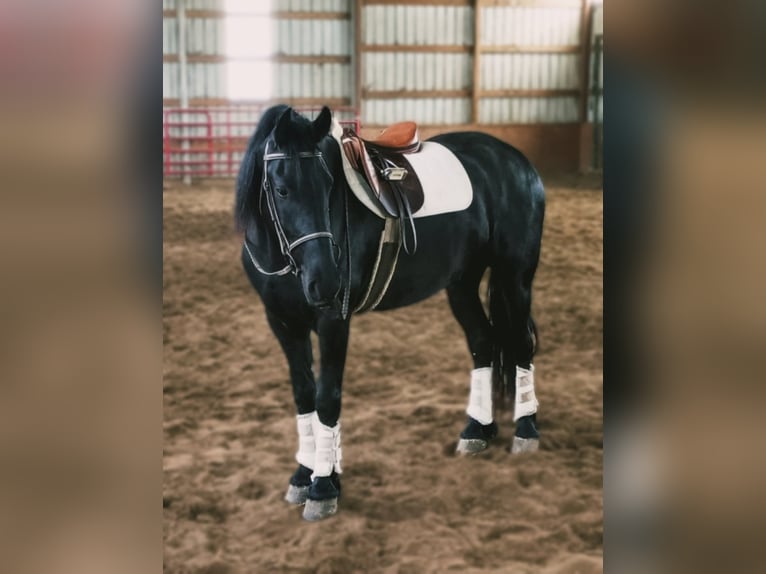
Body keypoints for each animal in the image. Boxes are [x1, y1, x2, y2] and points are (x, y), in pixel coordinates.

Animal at [234, 107, 544, 520]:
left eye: (328, 186)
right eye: (282, 190)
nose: (325, 282)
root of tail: (517, 162)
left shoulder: (333, 321)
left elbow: (327, 397)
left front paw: (322, 486)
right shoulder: (284, 323)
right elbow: (304, 395)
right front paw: (305, 475)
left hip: (515, 275)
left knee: (521, 344)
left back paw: (526, 430)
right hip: (461, 283)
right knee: (483, 343)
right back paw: (476, 430)